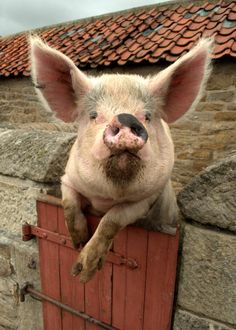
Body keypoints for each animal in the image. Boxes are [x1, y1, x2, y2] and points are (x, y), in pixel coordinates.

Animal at [30, 36, 211, 284]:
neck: (108, 196)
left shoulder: (146, 199)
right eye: (94, 115)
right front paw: (78, 242)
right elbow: (69, 203)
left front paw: (83, 273)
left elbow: (112, 220)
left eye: (147, 116)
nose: (126, 118)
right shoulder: (68, 179)